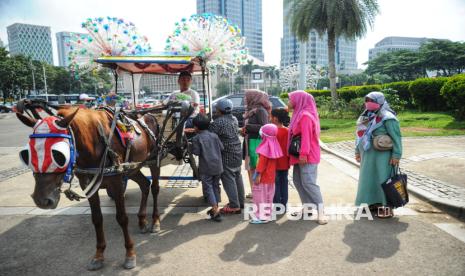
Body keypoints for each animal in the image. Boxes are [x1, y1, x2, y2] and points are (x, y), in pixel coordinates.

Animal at [16, 106, 160, 270]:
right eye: (27, 154)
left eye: (58, 155)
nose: (41, 200)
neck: (97, 143)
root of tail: (150, 114)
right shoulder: (88, 185)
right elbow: (96, 218)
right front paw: (99, 254)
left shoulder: (117, 184)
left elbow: (122, 218)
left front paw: (130, 253)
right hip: (133, 168)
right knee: (145, 184)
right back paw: (142, 220)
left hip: (153, 160)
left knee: (155, 188)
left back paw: (155, 221)